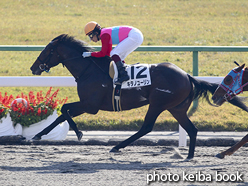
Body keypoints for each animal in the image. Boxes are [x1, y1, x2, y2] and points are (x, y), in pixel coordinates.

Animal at [30, 35, 245, 160]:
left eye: (47, 50)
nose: (33, 68)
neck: (89, 70)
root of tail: (187, 76)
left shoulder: (90, 105)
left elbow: (65, 109)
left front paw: (77, 133)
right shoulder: (87, 104)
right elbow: (63, 112)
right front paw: (39, 134)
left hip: (158, 103)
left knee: (147, 127)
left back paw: (117, 146)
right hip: (176, 108)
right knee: (192, 129)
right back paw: (189, 156)